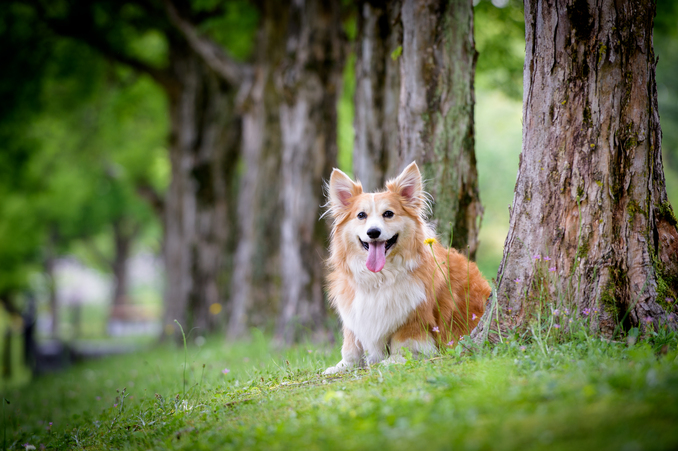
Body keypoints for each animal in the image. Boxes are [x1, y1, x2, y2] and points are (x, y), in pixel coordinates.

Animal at [326, 162, 494, 374]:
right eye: (361, 215)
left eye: (388, 214)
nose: (373, 232)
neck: (379, 278)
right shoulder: (354, 316)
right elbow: (350, 348)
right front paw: (341, 366)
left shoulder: (413, 321)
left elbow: (404, 347)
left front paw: (390, 362)